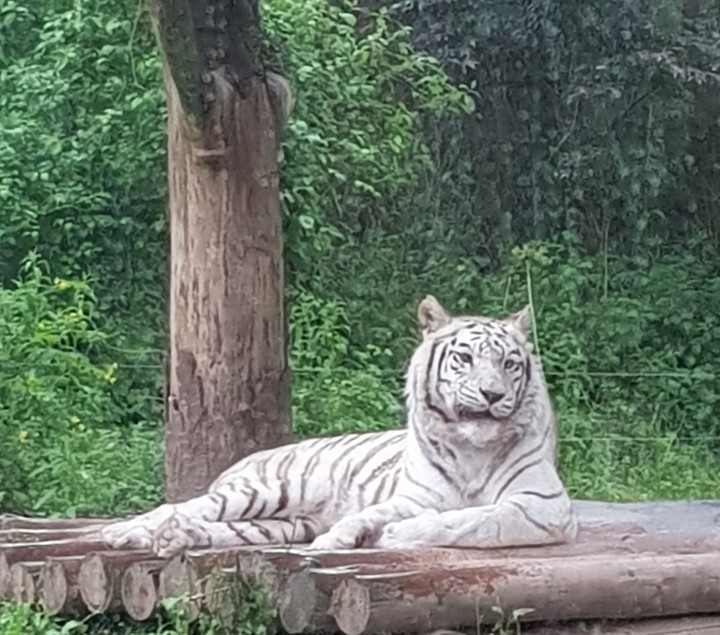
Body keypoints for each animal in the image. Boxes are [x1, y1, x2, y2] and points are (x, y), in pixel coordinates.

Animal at [100, 295, 577, 557]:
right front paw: (347, 537)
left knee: (219, 528)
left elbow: (475, 521)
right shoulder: (413, 497)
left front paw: (387, 535)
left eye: (509, 363)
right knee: (180, 507)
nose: (493, 394)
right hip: (273, 489)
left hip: (283, 522)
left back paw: (174, 539)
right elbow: (374, 513)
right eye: (464, 358)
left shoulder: (541, 505)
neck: (471, 451)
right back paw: (125, 533)